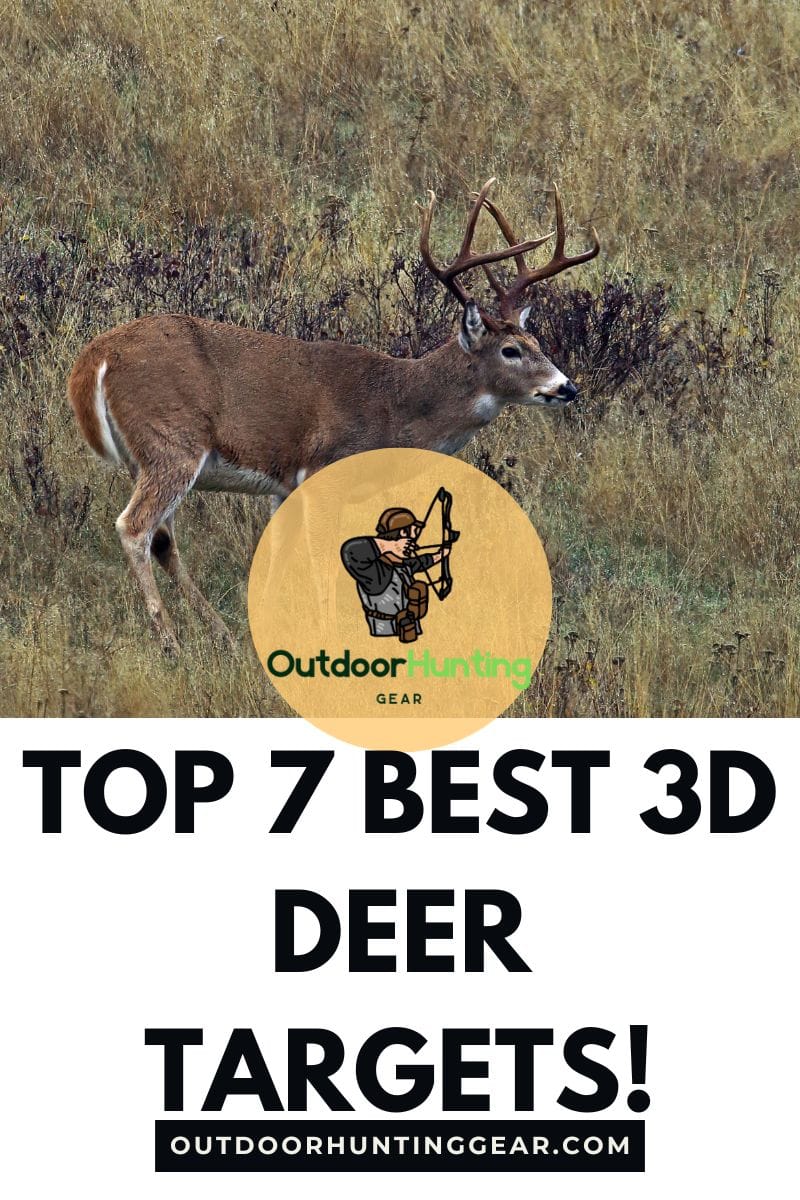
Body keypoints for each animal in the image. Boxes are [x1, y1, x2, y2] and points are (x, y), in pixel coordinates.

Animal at [67, 178, 599, 656]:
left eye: (537, 341)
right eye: (511, 351)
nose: (567, 387)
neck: (392, 405)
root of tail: (96, 356)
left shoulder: (284, 487)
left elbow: (275, 558)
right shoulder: (322, 468)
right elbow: (324, 561)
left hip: (148, 457)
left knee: (162, 538)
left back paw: (219, 633)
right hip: (172, 442)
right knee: (134, 527)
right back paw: (171, 642)